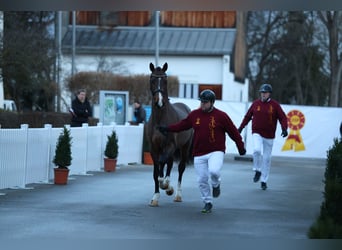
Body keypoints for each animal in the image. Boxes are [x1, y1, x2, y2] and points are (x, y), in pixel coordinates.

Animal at [145, 62, 192, 207]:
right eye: (152, 79)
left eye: (165, 80)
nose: (159, 102)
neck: (160, 120)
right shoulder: (154, 148)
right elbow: (156, 171)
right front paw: (155, 197)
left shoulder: (170, 146)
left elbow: (162, 164)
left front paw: (167, 186)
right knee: (169, 163)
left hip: (184, 147)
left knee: (180, 167)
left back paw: (177, 195)